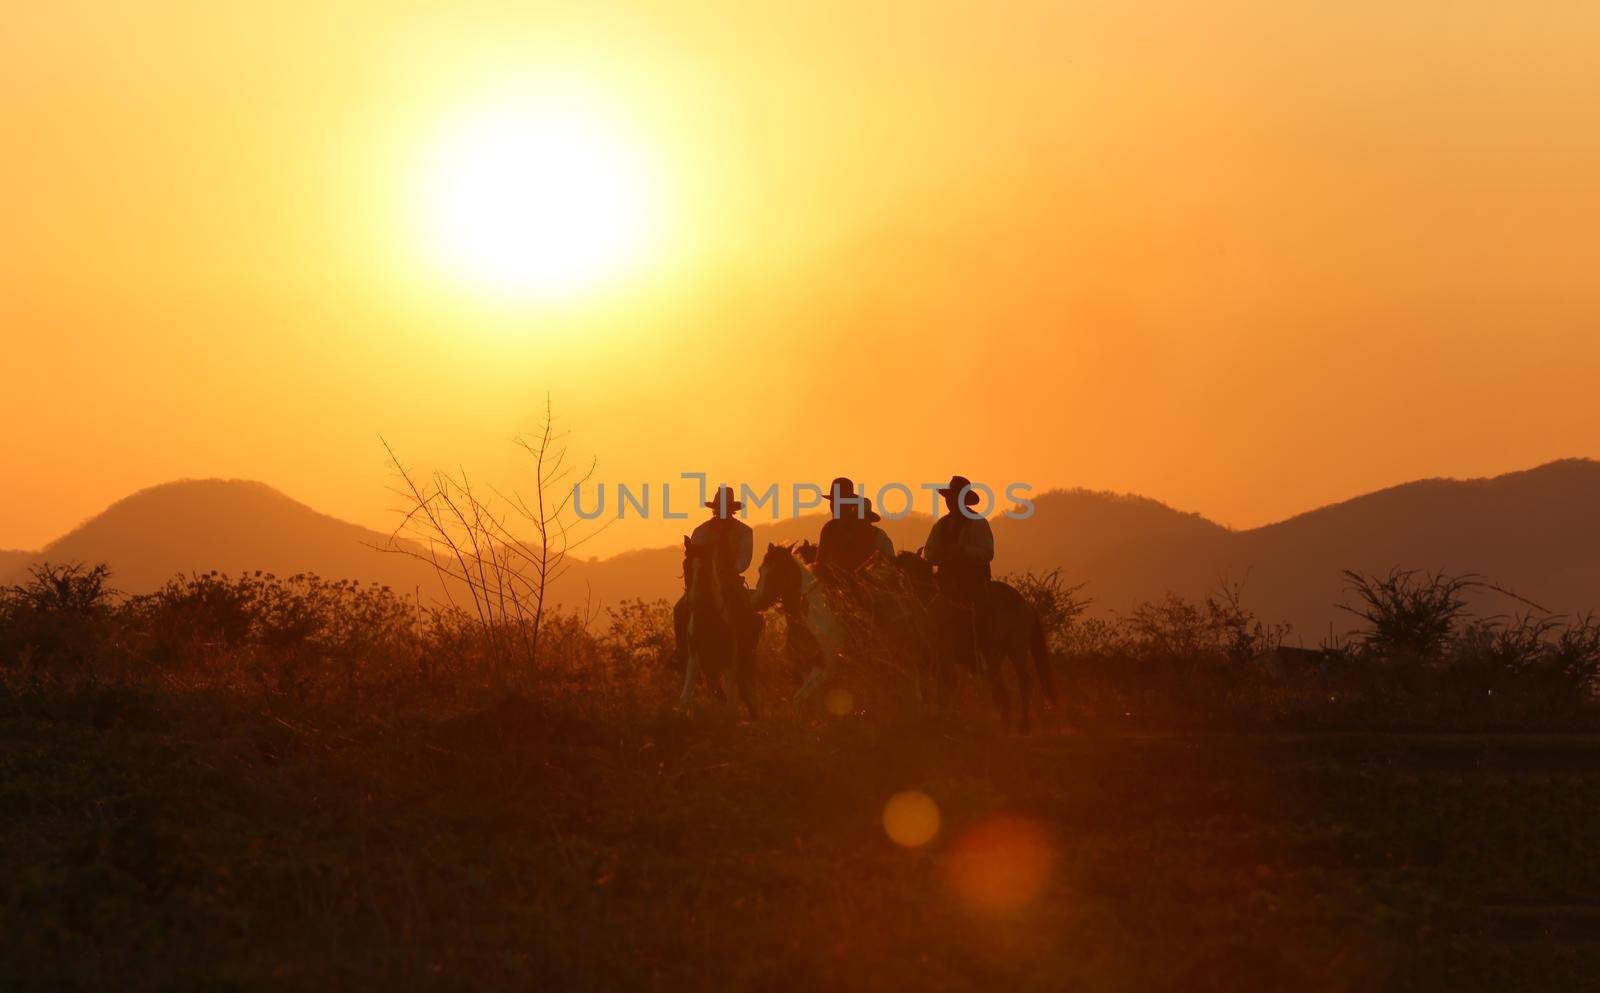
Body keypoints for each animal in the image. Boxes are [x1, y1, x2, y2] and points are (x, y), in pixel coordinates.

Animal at [675, 537, 761, 716]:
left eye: (706, 567)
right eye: (686, 564)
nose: (692, 600)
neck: (708, 617)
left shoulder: (729, 659)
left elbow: (731, 706)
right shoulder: (695, 657)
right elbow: (684, 699)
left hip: (745, 660)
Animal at [752, 543, 851, 713]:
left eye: (778, 572)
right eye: (760, 570)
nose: (756, 602)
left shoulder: (825, 668)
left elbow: (798, 699)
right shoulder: (806, 671)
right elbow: (813, 704)